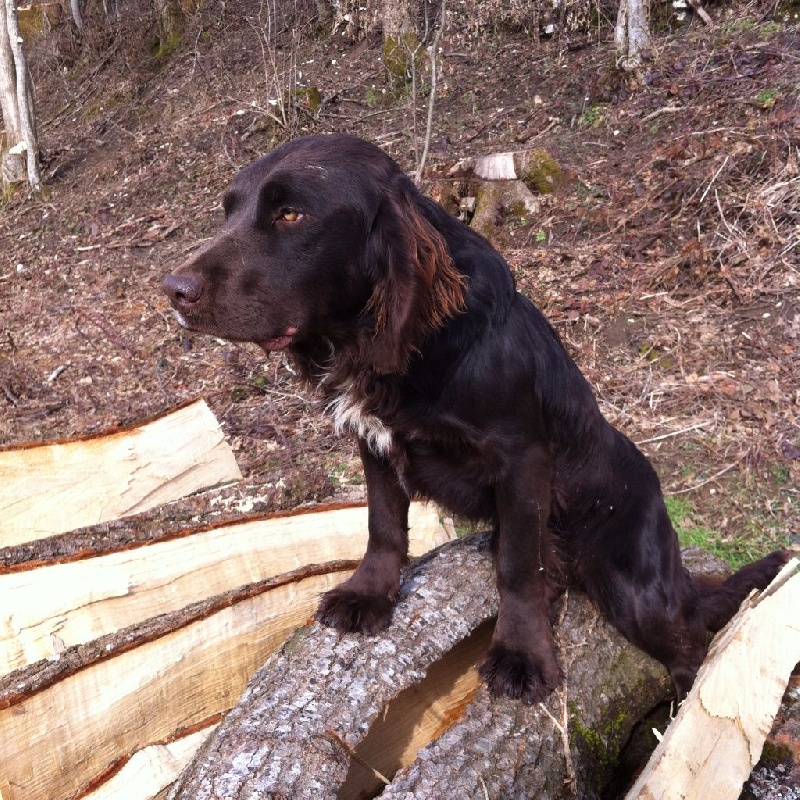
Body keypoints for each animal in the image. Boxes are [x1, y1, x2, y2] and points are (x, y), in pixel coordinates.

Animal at [163, 133, 787, 703]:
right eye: (229, 210)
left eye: (290, 214)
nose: (173, 290)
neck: (406, 347)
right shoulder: (375, 442)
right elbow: (383, 525)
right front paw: (369, 594)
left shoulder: (522, 460)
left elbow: (519, 566)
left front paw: (521, 653)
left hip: (635, 587)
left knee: (689, 637)